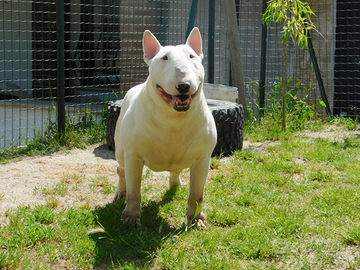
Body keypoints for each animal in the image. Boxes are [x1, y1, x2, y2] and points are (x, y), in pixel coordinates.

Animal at [114, 28, 215, 226]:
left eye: (192, 56)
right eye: (164, 58)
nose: (183, 85)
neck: (174, 119)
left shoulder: (203, 159)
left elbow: (197, 194)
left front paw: (196, 219)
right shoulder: (134, 156)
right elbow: (134, 191)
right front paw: (131, 217)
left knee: (176, 170)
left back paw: (175, 185)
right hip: (120, 149)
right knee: (121, 170)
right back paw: (121, 192)